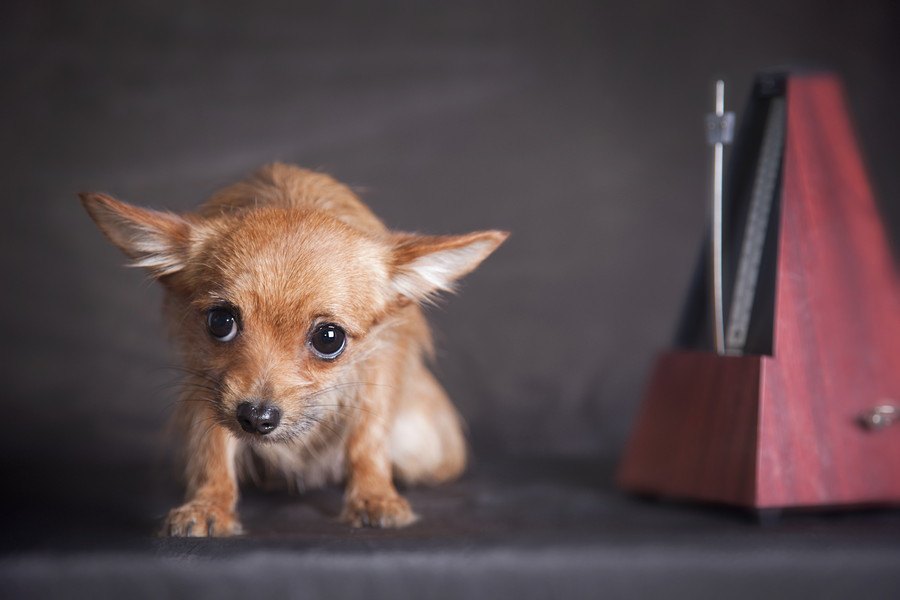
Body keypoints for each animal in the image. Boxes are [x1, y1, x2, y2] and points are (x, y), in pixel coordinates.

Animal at [81, 163, 506, 536]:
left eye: (329, 338)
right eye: (220, 322)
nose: (256, 417)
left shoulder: (379, 368)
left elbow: (366, 437)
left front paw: (372, 496)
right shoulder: (205, 382)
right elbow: (212, 447)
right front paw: (209, 503)